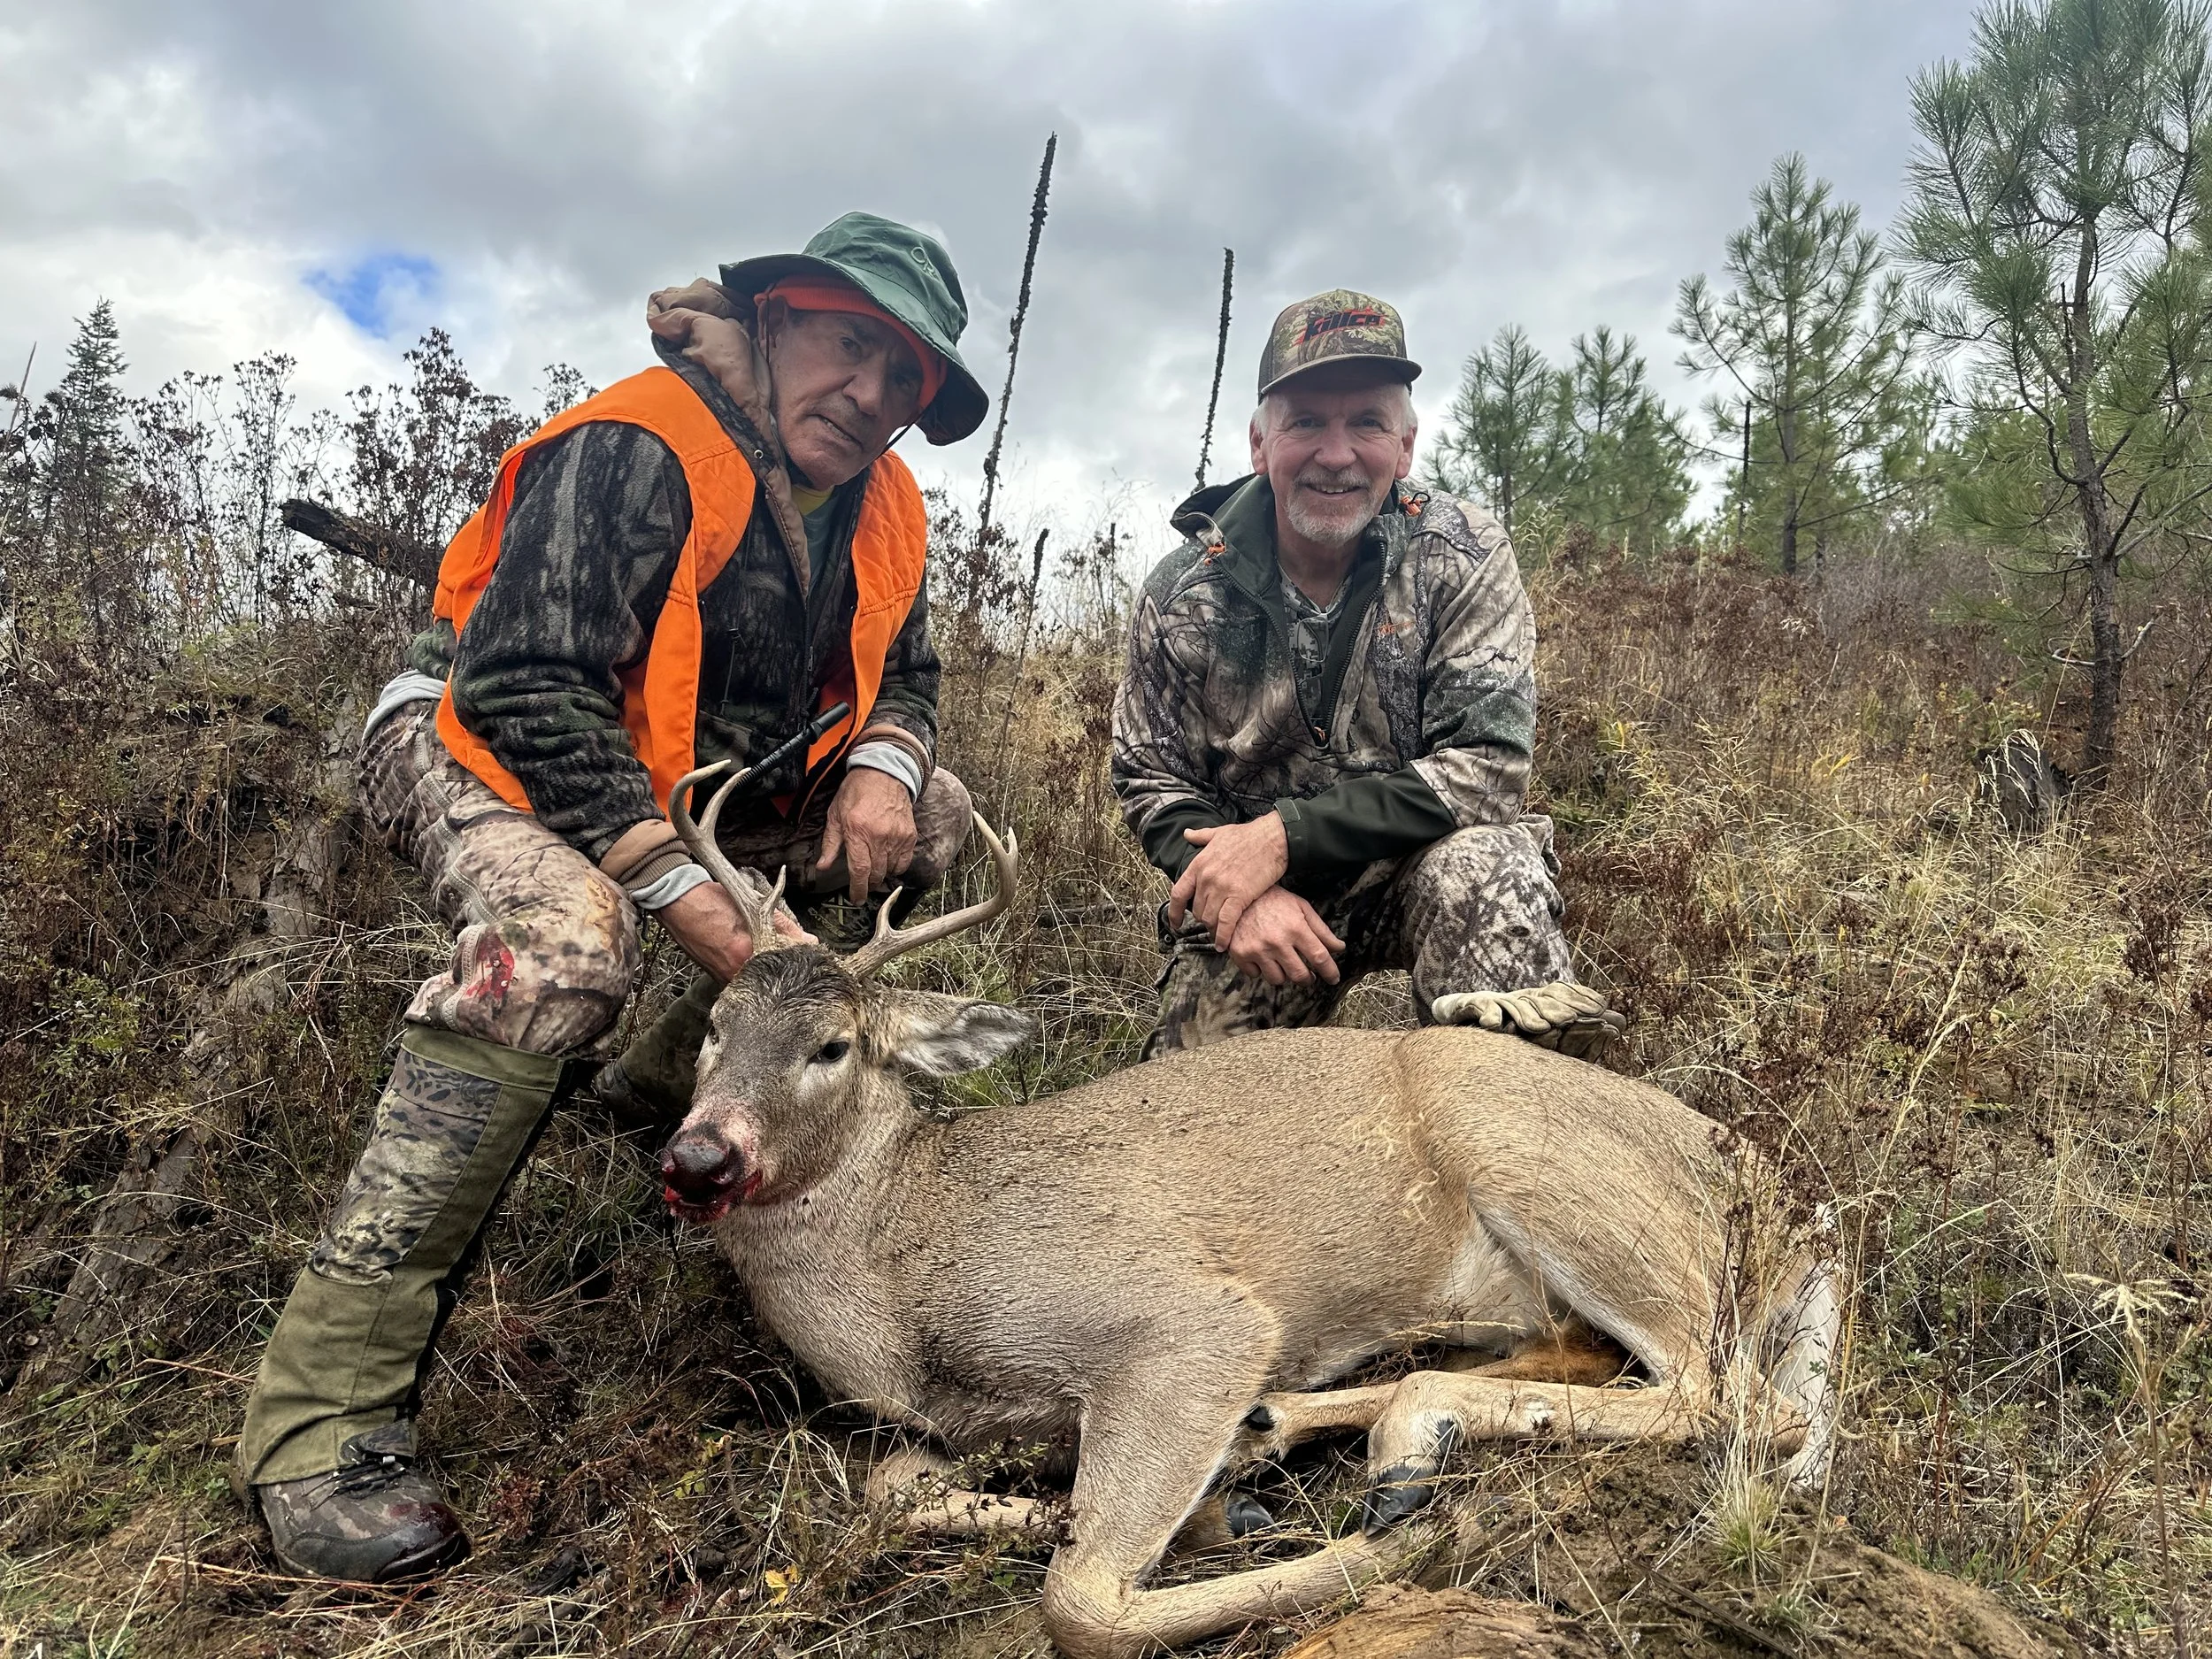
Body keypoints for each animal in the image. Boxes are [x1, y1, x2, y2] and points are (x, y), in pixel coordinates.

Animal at [654, 760, 1841, 1659]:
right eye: (714, 1025)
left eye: (832, 1047)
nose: (700, 1157)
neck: (905, 1263)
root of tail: (1775, 1190)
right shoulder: (966, 1423)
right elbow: (886, 1490)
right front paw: (1082, 1506)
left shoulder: (1191, 1322)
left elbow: (1079, 1602)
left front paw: (1393, 1546)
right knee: (1579, 1357)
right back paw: (1300, 1442)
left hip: (1558, 1176)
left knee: (1737, 1400)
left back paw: (1402, 1465)